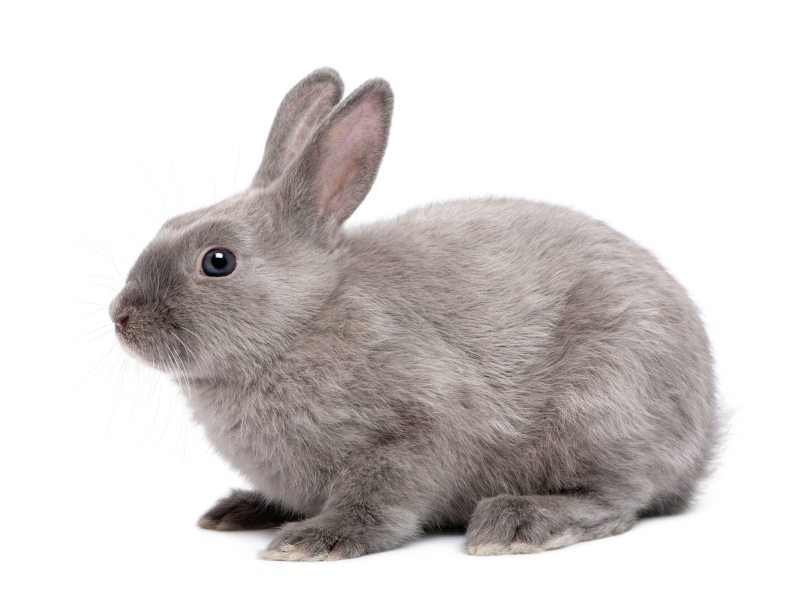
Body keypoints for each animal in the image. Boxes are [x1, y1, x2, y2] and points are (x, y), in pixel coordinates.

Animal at [109, 67, 719, 561]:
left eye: (218, 261)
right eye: (168, 224)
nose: (121, 316)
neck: (304, 319)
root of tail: (704, 428)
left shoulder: (417, 429)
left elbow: (380, 495)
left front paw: (316, 541)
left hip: (602, 407)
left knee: (617, 499)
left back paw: (514, 524)